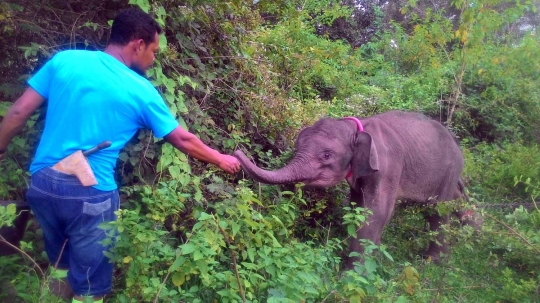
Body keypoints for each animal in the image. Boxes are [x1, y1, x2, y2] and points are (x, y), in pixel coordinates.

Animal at [235, 110, 480, 270]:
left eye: (326, 155)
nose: (236, 153)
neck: (357, 127)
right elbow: (356, 206)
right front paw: (374, 254)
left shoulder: (388, 166)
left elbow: (376, 211)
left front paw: (352, 274)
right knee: (455, 201)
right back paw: (475, 232)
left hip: (449, 169)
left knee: (437, 210)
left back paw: (433, 261)